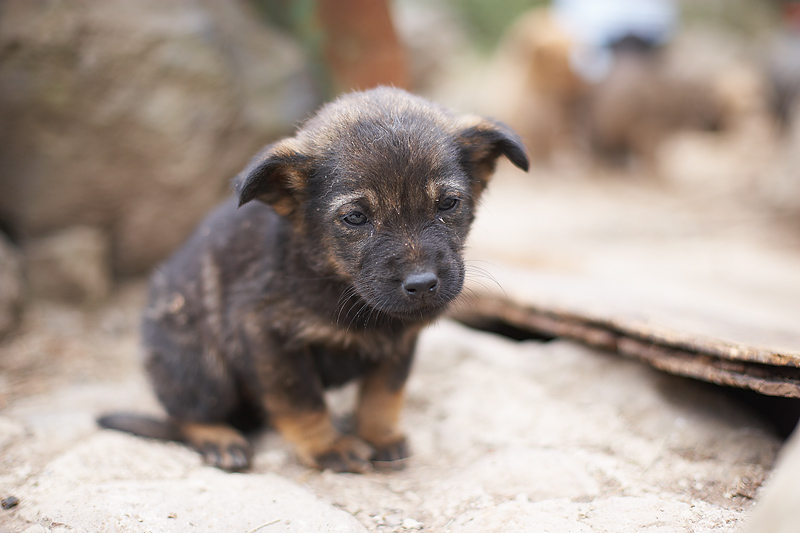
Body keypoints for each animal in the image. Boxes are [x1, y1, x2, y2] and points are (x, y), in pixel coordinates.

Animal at [97, 88, 528, 474]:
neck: (336, 282)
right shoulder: (267, 337)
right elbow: (302, 402)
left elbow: (383, 394)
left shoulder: (399, 341)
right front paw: (327, 448)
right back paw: (219, 440)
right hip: (201, 368)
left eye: (449, 203)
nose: (422, 285)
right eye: (355, 217)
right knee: (186, 414)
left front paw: (378, 436)